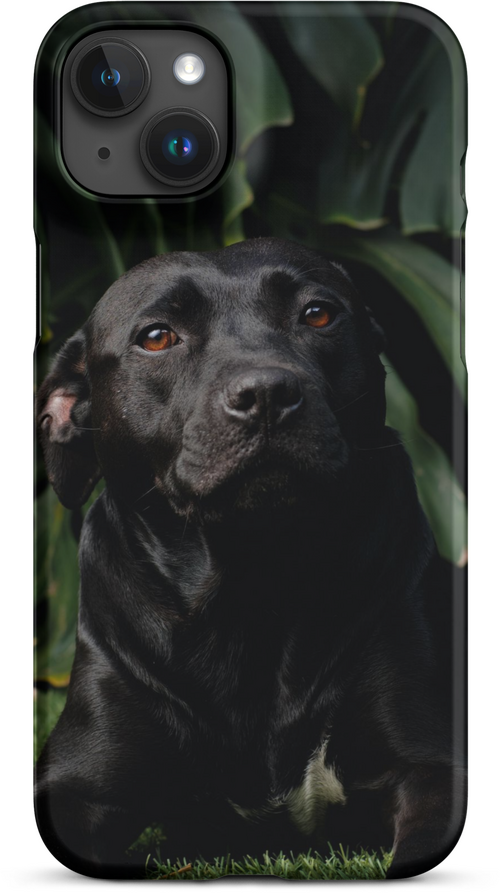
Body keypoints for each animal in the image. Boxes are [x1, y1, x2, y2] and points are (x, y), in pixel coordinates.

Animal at [33, 237, 466, 880]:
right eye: (156, 336)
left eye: (318, 313)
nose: (266, 394)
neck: (250, 588)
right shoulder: (77, 784)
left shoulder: (431, 765)